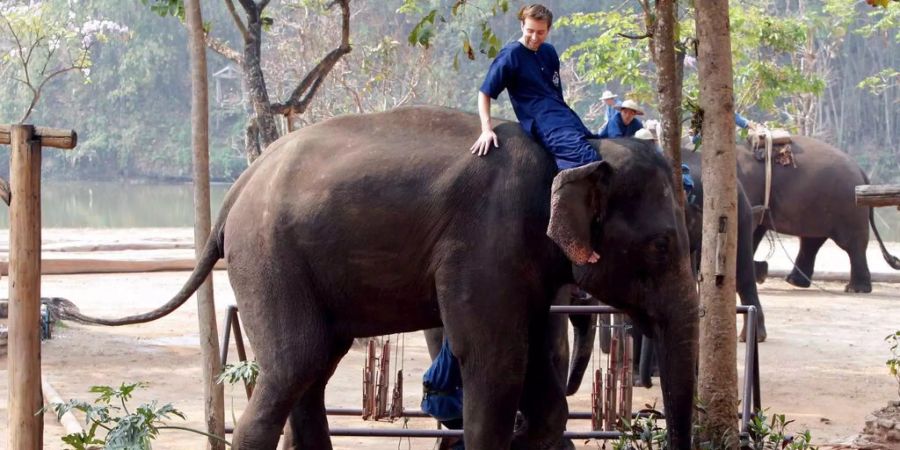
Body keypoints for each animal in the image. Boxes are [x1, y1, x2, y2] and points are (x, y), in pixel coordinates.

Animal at [67, 107, 700, 448]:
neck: (576, 148)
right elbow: (496, 363)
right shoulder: (483, 243)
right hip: (268, 255)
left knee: (313, 369)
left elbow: (540, 377)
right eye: (662, 245)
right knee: (294, 363)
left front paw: (530, 431)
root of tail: (239, 186)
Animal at [736, 135, 896, 294]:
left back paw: (855, 289)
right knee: (812, 241)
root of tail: (862, 173)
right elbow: (755, 229)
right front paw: (757, 273)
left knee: (851, 243)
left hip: (849, 208)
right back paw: (794, 281)